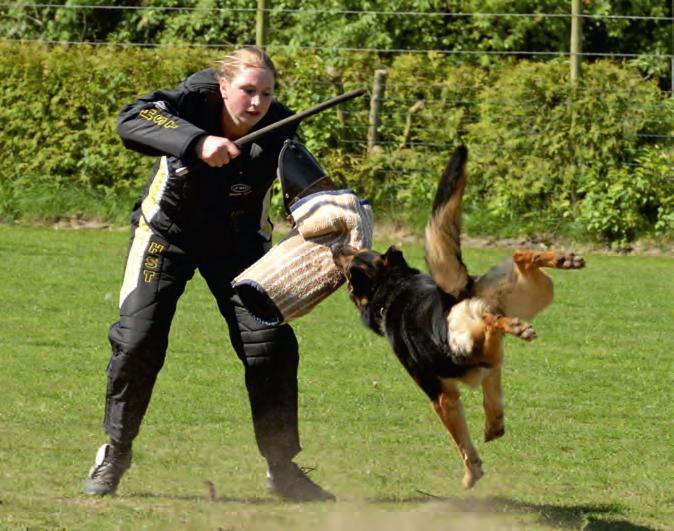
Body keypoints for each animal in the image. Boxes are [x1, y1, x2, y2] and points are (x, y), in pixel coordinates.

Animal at [332, 145, 584, 490]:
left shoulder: (442, 397)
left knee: (492, 319)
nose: (336, 247)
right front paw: (493, 426)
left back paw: (514, 324)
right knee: (520, 259)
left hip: (469, 336)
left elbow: (462, 442)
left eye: (350, 264)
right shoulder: (490, 369)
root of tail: (454, 294)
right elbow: (492, 400)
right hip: (538, 290)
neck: (394, 288)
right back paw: (559, 260)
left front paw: (471, 473)